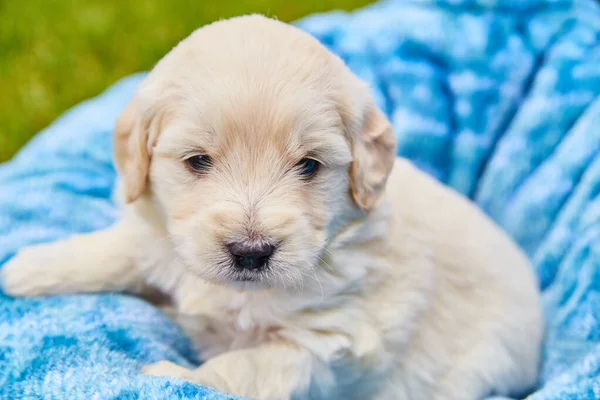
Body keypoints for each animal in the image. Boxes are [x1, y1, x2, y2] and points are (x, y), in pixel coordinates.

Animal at [1, 14, 544, 400]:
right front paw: (29, 269)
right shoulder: (162, 237)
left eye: (309, 165)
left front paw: (165, 374)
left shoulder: (322, 346)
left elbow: (240, 367)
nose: (250, 252)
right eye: (198, 161)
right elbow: (122, 249)